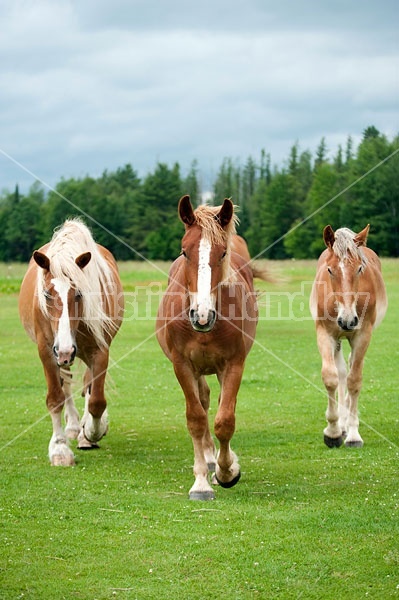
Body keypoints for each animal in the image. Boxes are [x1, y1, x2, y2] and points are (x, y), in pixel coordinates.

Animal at [18, 218, 124, 466]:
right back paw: (74, 426)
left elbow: (96, 400)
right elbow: (55, 397)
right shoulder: (48, 352)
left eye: (79, 294)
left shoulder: (99, 350)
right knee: (66, 385)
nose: (66, 351)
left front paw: (93, 431)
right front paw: (60, 449)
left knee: (88, 386)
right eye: (47, 295)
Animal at [310, 226, 390, 450]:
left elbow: (354, 381)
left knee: (351, 368)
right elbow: (331, 377)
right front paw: (333, 432)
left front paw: (353, 435)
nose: (347, 321)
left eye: (360, 268)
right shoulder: (325, 334)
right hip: (338, 339)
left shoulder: (362, 335)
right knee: (341, 372)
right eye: (330, 270)